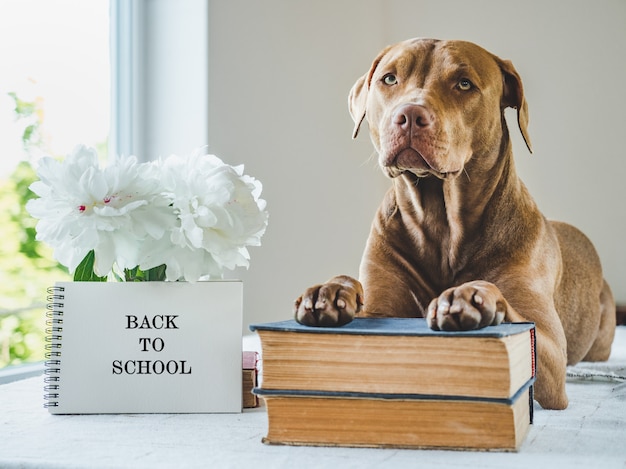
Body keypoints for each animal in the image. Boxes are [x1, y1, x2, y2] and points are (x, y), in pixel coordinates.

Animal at [294, 38, 616, 408]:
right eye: (389, 79)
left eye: (464, 84)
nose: (409, 115)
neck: (442, 223)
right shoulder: (379, 308)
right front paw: (332, 290)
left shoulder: (548, 350)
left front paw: (470, 296)